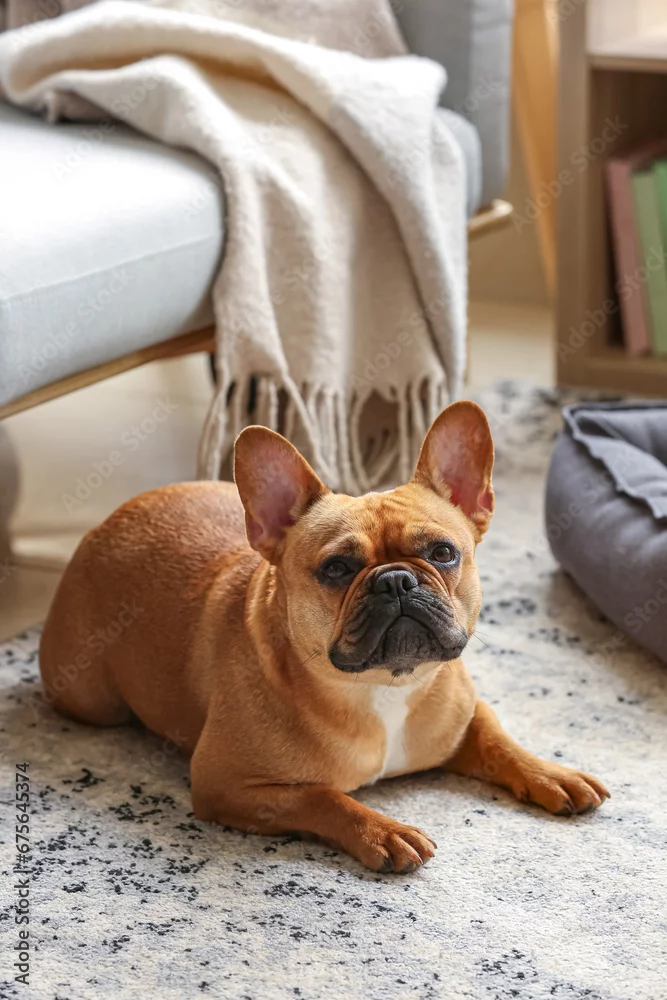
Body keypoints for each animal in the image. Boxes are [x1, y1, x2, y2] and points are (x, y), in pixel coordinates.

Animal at [40, 401, 609, 873]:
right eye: (337, 569)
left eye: (444, 552)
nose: (396, 580)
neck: (384, 686)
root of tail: (104, 524)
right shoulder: (227, 784)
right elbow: (320, 797)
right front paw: (383, 831)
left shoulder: (466, 715)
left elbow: (499, 739)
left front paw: (550, 773)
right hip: (91, 699)